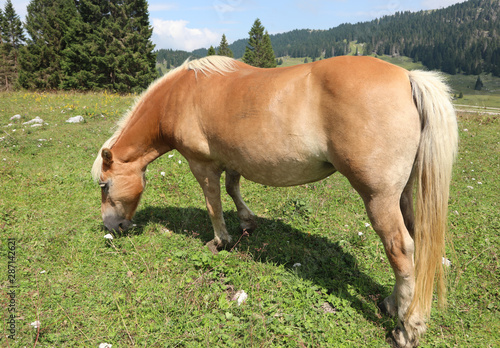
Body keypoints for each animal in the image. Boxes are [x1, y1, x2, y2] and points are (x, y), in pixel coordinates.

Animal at [93, 55, 458, 346]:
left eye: (104, 185)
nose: (112, 227)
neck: (182, 94)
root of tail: (408, 77)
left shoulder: (202, 165)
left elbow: (213, 202)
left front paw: (220, 241)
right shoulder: (232, 159)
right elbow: (233, 189)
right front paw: (246, 222)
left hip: (379, 198)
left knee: (400, 248)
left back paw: (407, 328)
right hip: (403, 194)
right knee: (412, 245)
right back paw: (393, 304)